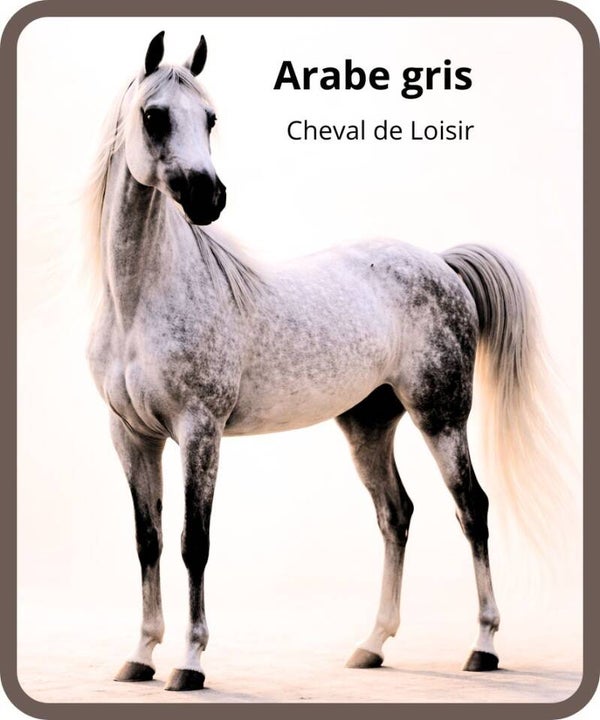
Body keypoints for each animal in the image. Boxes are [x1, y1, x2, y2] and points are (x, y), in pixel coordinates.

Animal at [85, 31, 569, 691]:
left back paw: (484, 647)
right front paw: (139, 657)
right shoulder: (132, 435)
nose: (210, 197)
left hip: (441, 416)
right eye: (154, 116)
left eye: (210, 118)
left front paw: (189, 663)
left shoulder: (199, 431)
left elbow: (194, 543)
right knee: (396, 513)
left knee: (472, 508)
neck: (141, 301)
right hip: (368, 424)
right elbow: (148, 540)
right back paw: (371, 645)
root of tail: (440, 262)